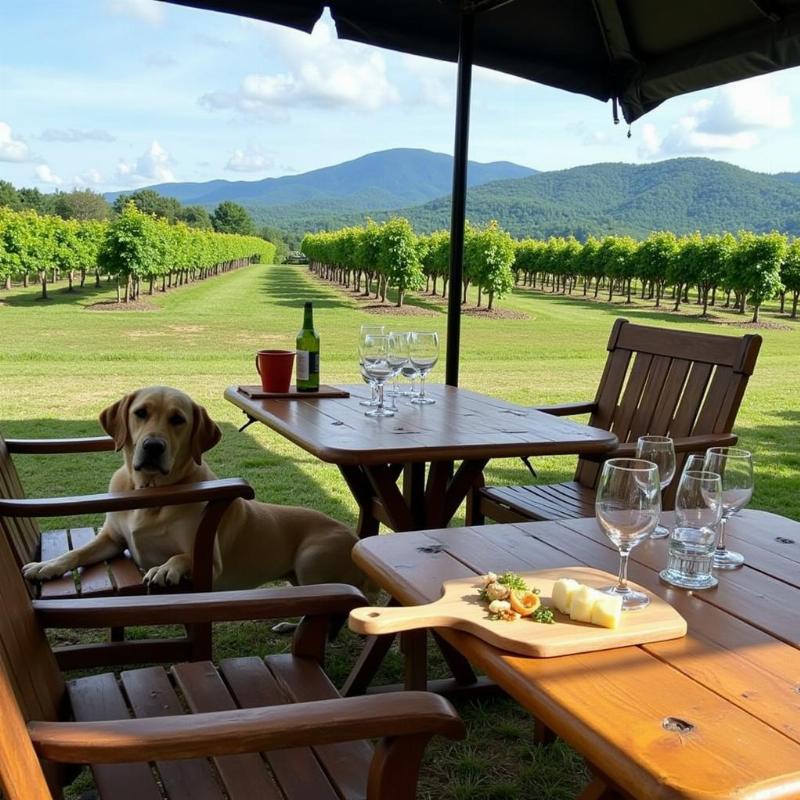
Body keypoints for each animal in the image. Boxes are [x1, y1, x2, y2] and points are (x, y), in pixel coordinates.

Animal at [21, 388, 364, 592]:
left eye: (178, 419)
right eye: (140, 413)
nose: (153, 446)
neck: (150, 494)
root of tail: (354, 536)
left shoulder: (210, 563)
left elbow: (181, 555)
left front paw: (164, 569)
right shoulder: (112, 539)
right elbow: (77, 552)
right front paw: (46, 566)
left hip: (311, 560)